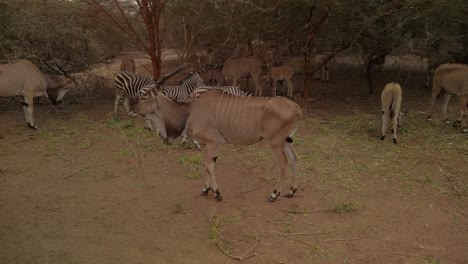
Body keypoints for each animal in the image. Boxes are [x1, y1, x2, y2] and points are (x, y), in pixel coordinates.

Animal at [130, 86, 302, 202]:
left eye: (144, 97)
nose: (132, 108)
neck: (191, 110)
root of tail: (295, 107)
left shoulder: (215, 142)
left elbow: (208, 166)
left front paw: (217, 193)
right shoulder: (210, 145)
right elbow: (208, 165)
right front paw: (206, 189)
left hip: (275, 143)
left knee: (283, 164)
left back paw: (274, 194)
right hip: (284, 142)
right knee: (294, 159)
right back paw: (291, 191)